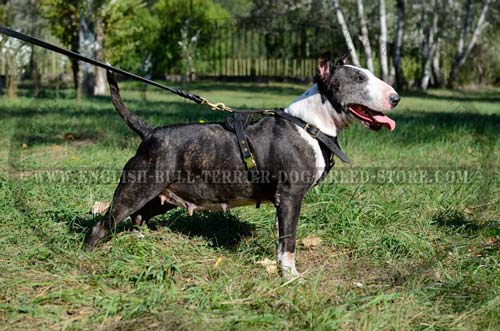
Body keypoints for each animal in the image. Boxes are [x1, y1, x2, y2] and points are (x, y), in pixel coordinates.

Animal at [84, 52, 400, 278]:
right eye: (358, 79)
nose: (395, 98)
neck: (309, 125)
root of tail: (149, 132)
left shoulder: (282, 199)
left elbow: (281, 235)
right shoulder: (291, 194)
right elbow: (289, 240)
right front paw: (291, 277)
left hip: (162, 195)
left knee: (139, 217)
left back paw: (140, 243)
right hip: (137, 188)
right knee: (102, 225)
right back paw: (86, 260)